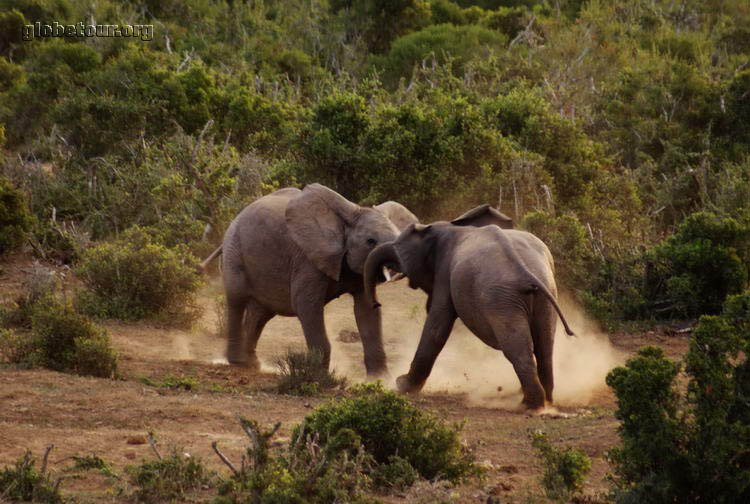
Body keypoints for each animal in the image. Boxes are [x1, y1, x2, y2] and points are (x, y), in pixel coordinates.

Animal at [217, 183, 402, 376]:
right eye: (370, 241)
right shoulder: (307, 260)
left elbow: (366, 310)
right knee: (237, 299)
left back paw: (252, 364)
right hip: (234, 251)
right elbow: (306, 305)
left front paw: (381, 379)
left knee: (260, 313)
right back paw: (237, 362)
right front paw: (320, 377)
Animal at [364, 207, 576, 412]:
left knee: (517, 348)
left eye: (400, 249)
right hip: (544, 295)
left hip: (502, 302)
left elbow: (437, 329)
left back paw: (529, 405)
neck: (444, 227)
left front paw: (402, 385)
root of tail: (525, 273)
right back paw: (543, 401)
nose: (376, 304)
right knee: (544, 346)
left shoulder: (445, 272)